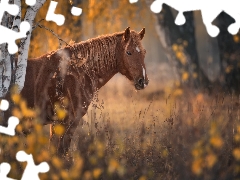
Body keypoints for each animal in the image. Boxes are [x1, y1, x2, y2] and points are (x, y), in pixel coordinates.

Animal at [20, 27, 148, 158]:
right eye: (128, 52)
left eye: (144, 52)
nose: (142, 81)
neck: (74, 73)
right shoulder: (61, 122)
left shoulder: (70, 123)